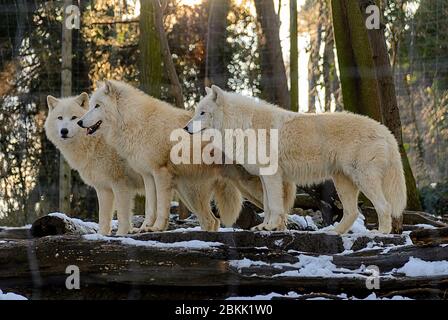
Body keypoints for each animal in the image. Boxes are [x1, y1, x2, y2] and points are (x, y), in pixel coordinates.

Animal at [186, 86, 406, 234]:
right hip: (343, 182)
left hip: (363, 179)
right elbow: (268, 205)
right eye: (196, 112)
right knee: (352, 212)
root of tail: (384, 130)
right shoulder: (267, 177)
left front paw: (269, 227)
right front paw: (265, 226)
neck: (242, 125)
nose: (186, 128)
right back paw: (333, 232)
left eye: (202, 113)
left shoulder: (271, 174)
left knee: (384, 206)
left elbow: (274, 206)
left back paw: (380, 233)